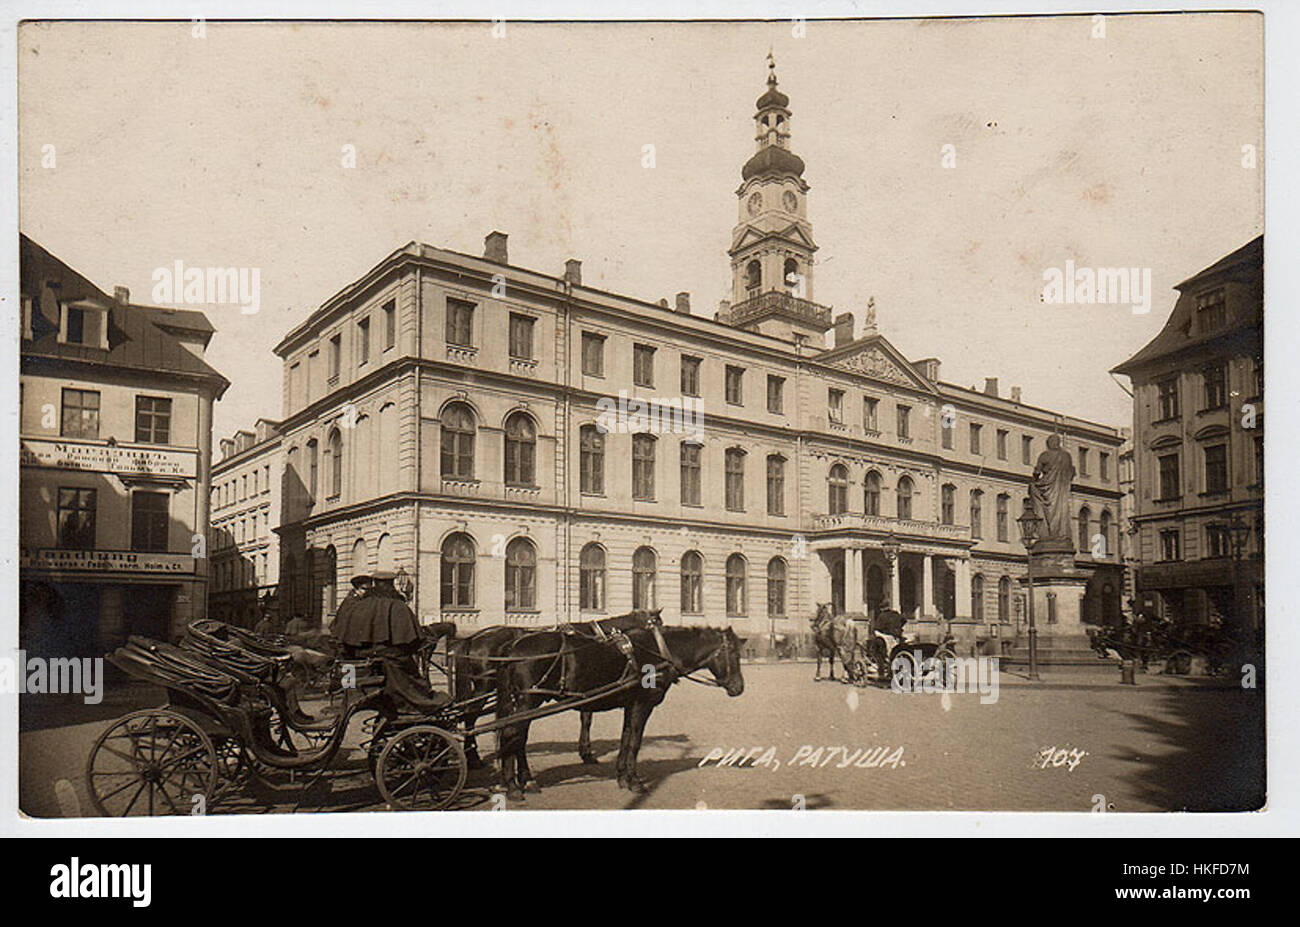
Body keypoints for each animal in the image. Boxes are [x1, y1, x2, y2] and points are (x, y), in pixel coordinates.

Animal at [493, 618, 748, 800]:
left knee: (518, 739)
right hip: (528, 701)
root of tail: (512, 645)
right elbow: (635, 742)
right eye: (733, 653)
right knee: (512, 735)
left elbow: (625, 739)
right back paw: (514, 786)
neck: (657, 652)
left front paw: (622, 777)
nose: (739, 688)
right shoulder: (642, 705)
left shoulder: (630, 705)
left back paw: (524, 781)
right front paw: (635, 781)